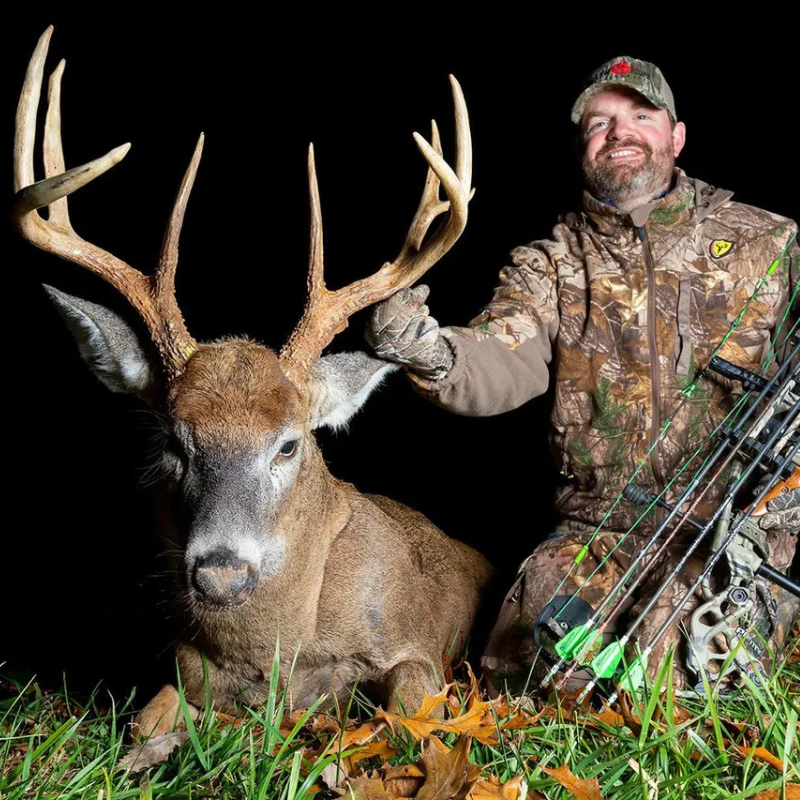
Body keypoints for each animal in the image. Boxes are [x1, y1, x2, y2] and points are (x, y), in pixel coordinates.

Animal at [14, 27, 493, 738]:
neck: (279, 654)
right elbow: (146, 718)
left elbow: (408, 706)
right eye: (173, 442)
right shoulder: (186, 667)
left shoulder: (413, 644)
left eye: (289, 444)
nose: (221, 576)